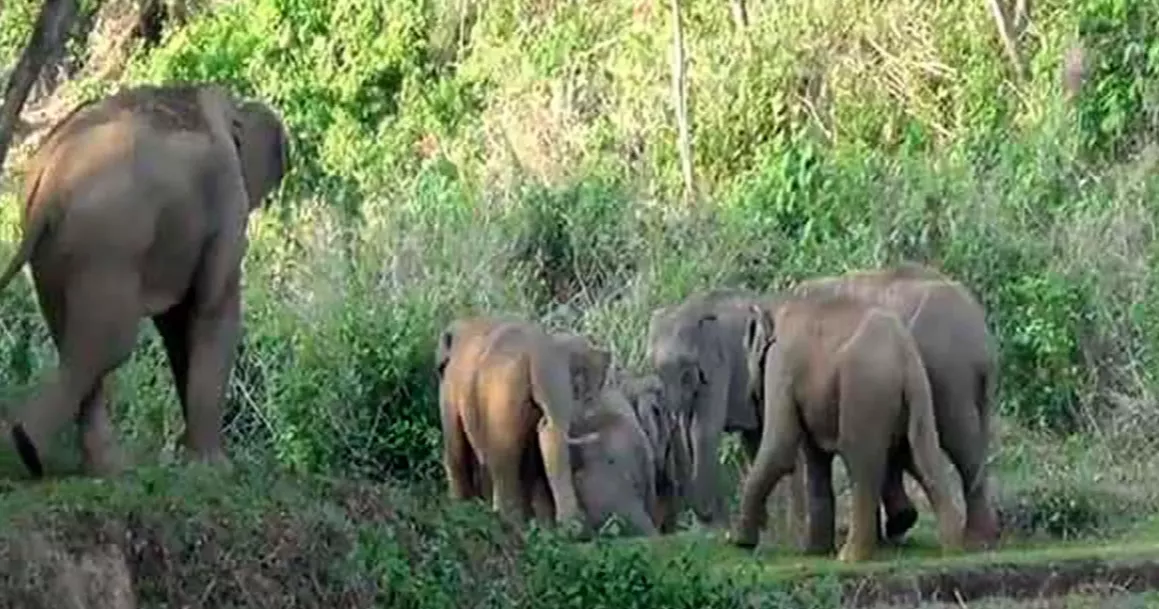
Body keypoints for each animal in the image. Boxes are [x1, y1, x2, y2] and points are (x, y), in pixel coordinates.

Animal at [0, 83, 289, 478]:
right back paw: (31, 449)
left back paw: (99, 466)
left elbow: (177, 324)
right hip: (107, 245)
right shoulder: (229, 200)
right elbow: (213, 305)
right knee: (107, 346)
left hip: (55, 253)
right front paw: (215, 470)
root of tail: (47, 174)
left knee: (76, 342)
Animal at [727, 295, 964, 563]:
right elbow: (815, 457)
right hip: (918, 393)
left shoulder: (782, 363)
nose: (751, 394)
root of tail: (904, 352)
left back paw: (849, 556)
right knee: (919, 453)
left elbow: (780, 449)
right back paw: (953, 550)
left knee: (860, 459)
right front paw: (814, 552)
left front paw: (740, 542)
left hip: (862, 387)